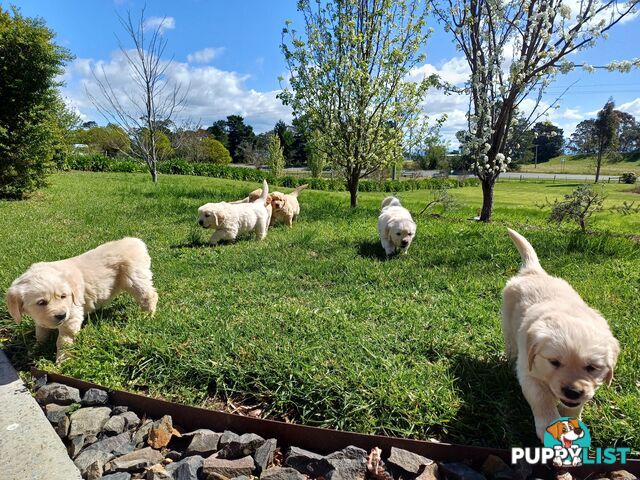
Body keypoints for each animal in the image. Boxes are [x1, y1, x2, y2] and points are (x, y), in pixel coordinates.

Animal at [7, 238, 159, 362]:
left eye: (63, 296)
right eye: (41, 303)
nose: (61, 315)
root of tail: (136, 241)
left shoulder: (72, 315)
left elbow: (63, 341)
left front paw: (63, 360)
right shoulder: (43, 319)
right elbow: (40, 332)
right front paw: (36, 348)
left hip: (134, 279)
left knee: (149, 295)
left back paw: (147, 316)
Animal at [502, 229, 616, 442]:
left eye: (592, 367)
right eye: (554, 362)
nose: (572, 392)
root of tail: (535, 272)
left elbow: (574, 408)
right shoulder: (528, 372)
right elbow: (541, 398)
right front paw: (550, 425)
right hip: (507, 320)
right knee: (510, 343)